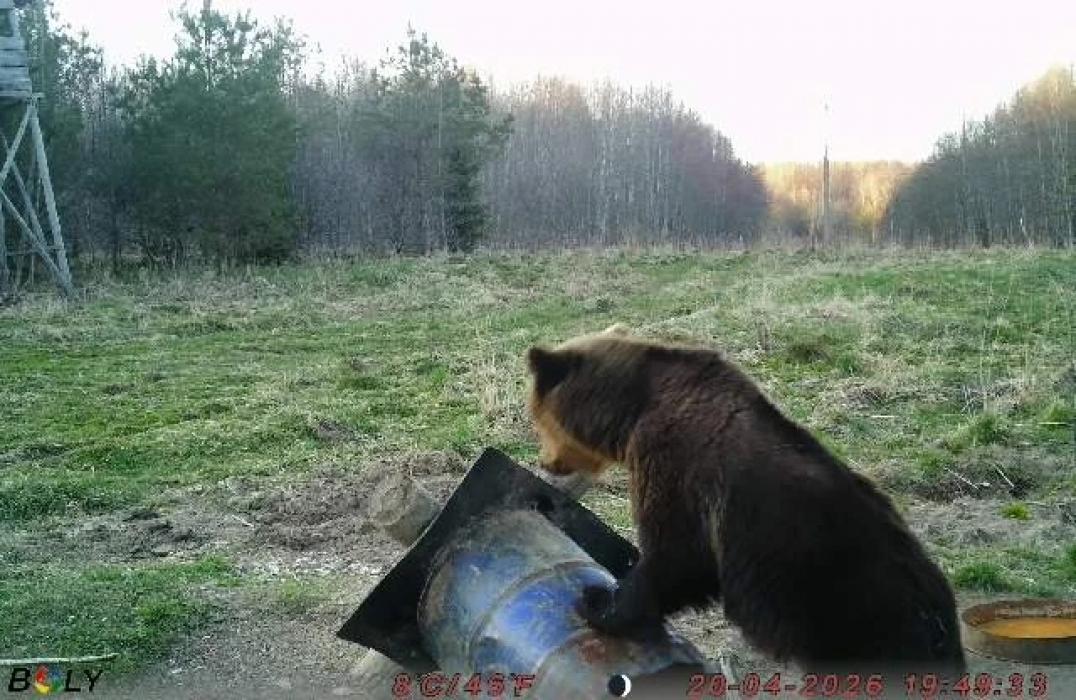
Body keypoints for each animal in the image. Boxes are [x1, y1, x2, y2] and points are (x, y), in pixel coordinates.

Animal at [525, 326, 966, 681]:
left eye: (535, 418)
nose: (547, 463)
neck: (633, 411)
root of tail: (938, 624)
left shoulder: (678, 464)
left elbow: (676, 556)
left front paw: (599, 602)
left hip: (846, 619)